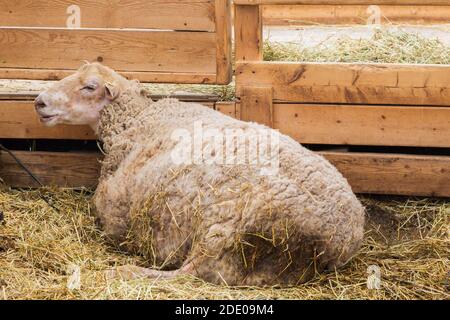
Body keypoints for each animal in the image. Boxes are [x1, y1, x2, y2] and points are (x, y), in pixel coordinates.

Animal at [35, 62, 366, 284]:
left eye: (89, 86)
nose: (40, 101)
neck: (138, 120)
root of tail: (340, 238)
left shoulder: (114, 212)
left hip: (222, 232)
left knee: (186, 274)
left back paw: (123, 271)